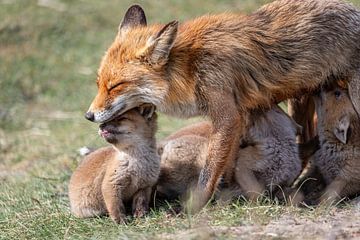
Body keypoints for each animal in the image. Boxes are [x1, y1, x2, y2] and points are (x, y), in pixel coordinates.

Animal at [85, 1, 360, 212]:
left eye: (116, 86)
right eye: (99, 84)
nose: (89, 115)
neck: (191, 67)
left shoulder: (227, 115)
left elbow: (209, 172)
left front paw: (193, 208)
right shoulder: (237, 117)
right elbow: (226, 165)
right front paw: (225, 193)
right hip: (300, 101)